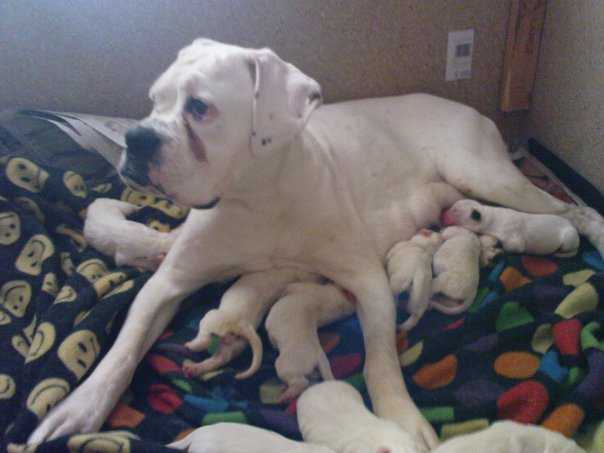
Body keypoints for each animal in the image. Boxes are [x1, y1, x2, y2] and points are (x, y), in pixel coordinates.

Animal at [443, 199, 581, 257]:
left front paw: (499, 249)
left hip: (568, 238)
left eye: (455, 211)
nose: (442, 215)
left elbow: (513, 247)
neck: (490, 216)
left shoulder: (515, 240)